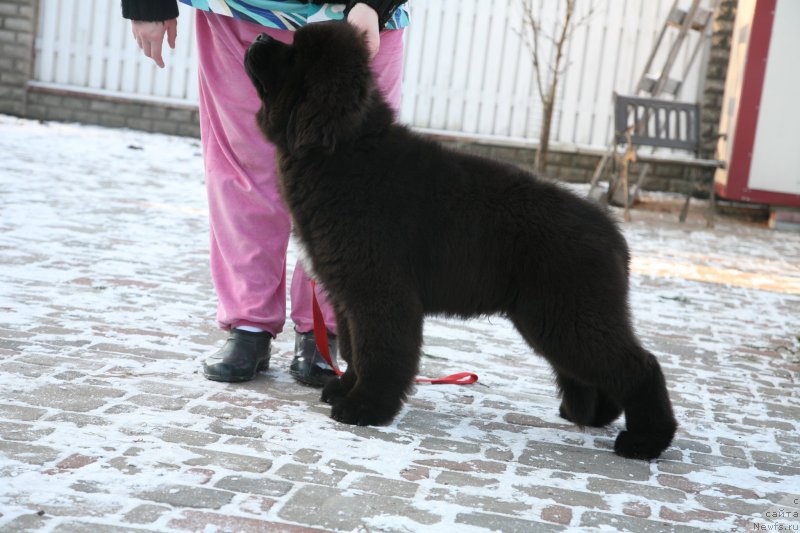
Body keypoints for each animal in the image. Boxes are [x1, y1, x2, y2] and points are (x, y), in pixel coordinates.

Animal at [242, 22, 676, 460]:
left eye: (295, 53)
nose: (259, 38)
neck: (342, 150)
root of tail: (615, 234)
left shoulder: (379, 291)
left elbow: (378, 352)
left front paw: (365, 407)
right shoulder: (346, 293)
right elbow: (353, 350)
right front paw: (344, 389)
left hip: (569, 315)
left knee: (639, 366)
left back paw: (646, 440)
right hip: (554, 317)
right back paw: (592, 414)